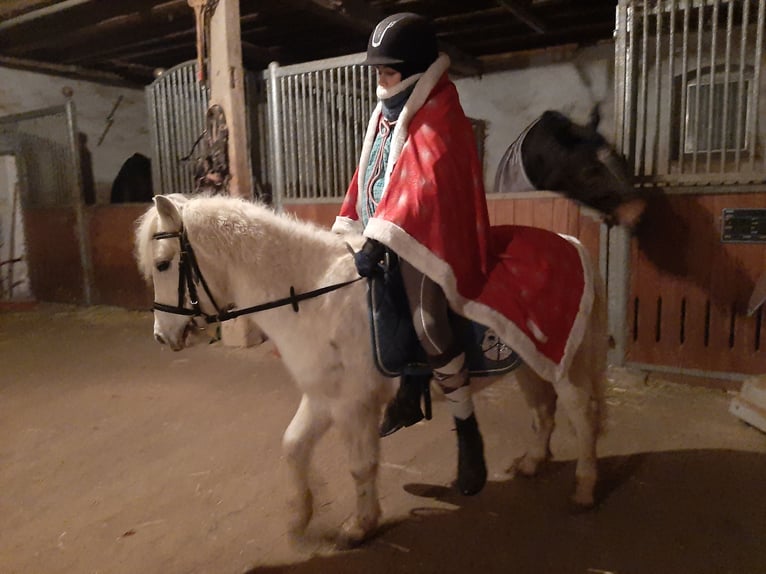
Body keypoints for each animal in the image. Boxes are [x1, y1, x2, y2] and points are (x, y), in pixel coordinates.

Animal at [135, 197, 608, 548]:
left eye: (162, 264)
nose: (161, 336)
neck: (314, 297)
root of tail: (572, 243)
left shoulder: (353, 405)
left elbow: (361, 466)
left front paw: (359, 526)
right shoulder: (322, 398)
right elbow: (293, 446)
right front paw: (300, 514)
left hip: (567, 365)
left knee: (582, 415)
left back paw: (585, 490)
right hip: (530, 361)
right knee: (542, 410)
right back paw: (532, 462)